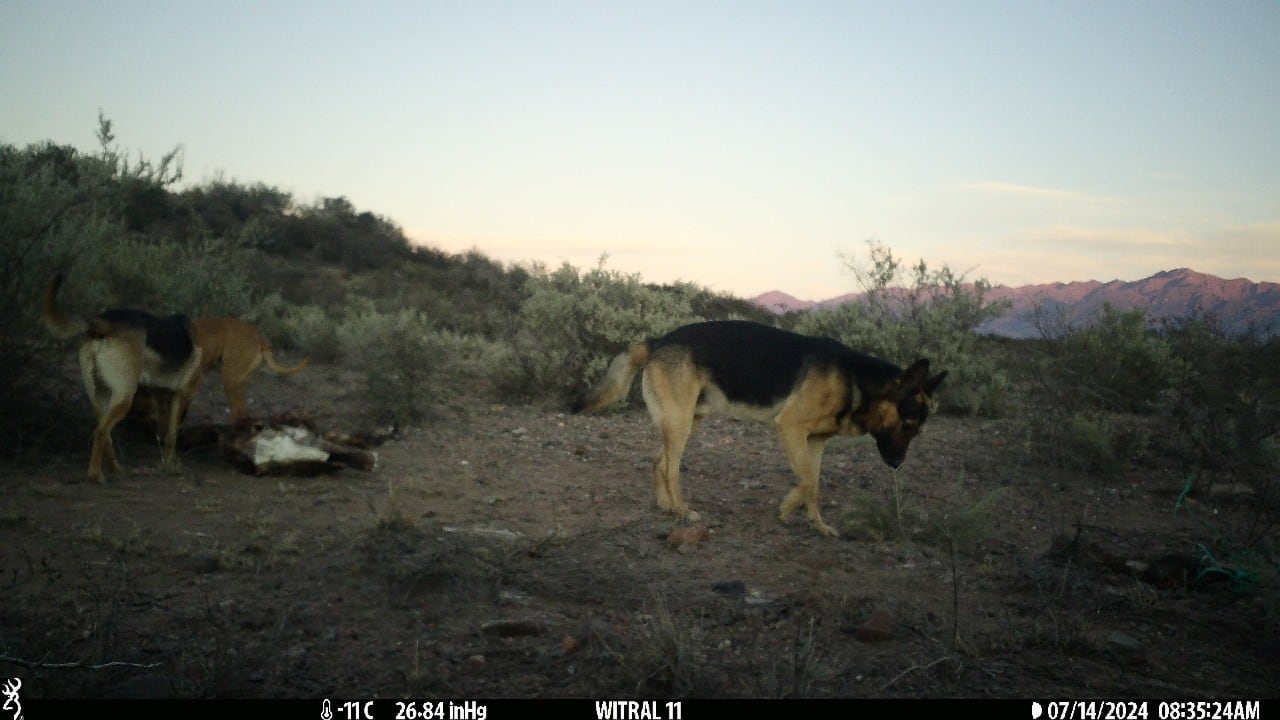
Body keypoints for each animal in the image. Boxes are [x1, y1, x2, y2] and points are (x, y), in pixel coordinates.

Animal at [40, 274, 203, 481]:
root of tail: (105, 322)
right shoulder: (181, 395)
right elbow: (171, 436)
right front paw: (169, 463)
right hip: (124, 398)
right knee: (101, 431)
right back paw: (95, 475)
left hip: (98, 396)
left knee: (104, 433)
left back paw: (114, 469)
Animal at [576, 317, 947, 532]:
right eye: (907, 423)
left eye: (918, 430)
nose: (897, 465)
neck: (856, 381)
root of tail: (657, 341)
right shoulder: (790, 428)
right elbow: (807, 481)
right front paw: (785, 510)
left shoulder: (815, 441)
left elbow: (814, 484)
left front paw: (817, 525)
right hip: (681, 423)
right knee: (670, 468)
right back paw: (682, 511)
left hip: (689, 420)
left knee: (658, 461)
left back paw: (665, 506)